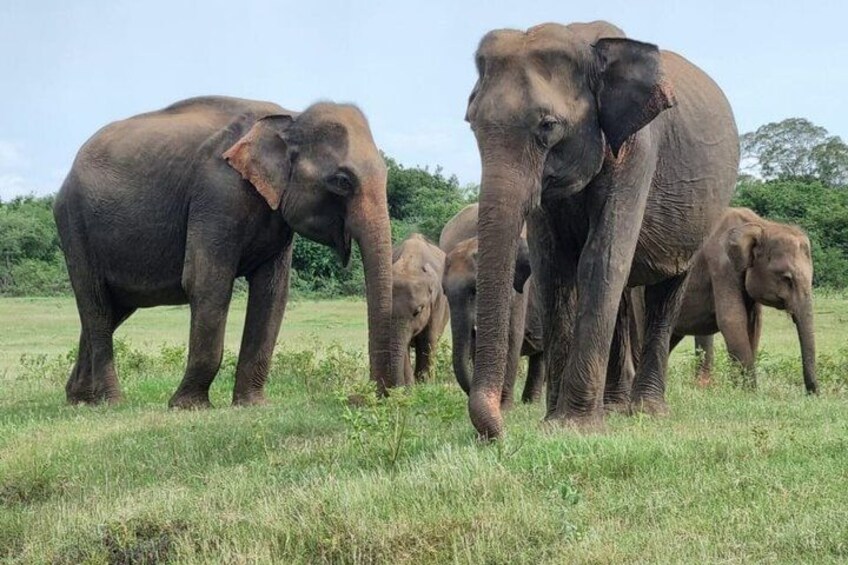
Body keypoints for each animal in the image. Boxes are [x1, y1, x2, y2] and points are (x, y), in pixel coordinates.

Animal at [54, 96, 396, 407]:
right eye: (342, 181)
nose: (363, 397)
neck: (290, 117)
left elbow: (272, 293)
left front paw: (253, 405)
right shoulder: (218, 193)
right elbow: (206, 282)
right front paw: (187, 406)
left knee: (112, 309)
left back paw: (79, 399)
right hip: (74, 225)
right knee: (96, 303)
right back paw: (112, 402)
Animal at [464, 21, 739, 438]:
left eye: (548, 126)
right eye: (472, 125)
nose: (497, 433)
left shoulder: (639, 148)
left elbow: (602, 259)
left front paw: (572, 427)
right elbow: (553, 268)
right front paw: (554, 423)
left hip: (700, 215)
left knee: (667, 289)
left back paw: (646, 411)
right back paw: (613, 407)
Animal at [671, 208, 817, 393]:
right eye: (787, 278)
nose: (812, 393)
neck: (761, 225)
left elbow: (753, 324)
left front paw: (743, 390)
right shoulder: (721, 266)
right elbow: (732, 320)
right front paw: (748, 392)